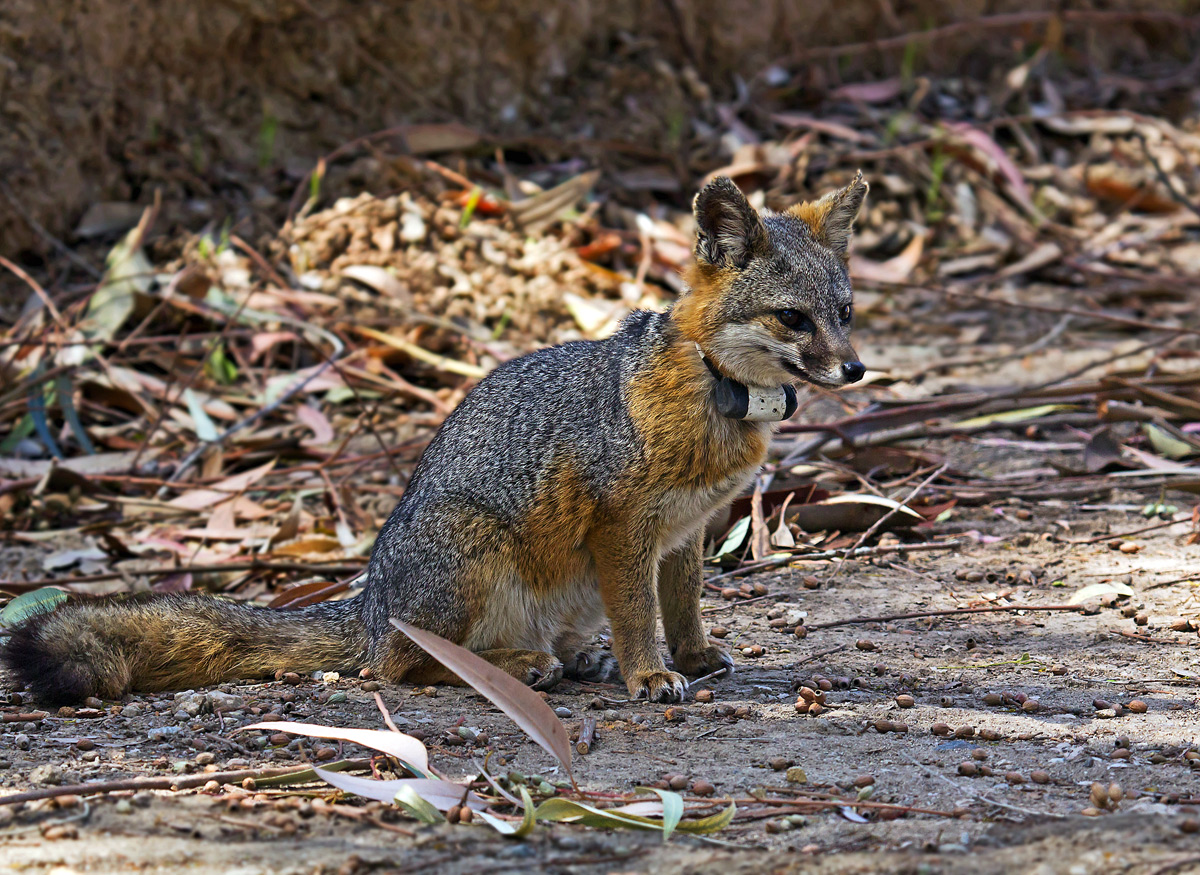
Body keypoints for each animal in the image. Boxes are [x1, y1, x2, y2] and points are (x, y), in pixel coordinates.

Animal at [3, 173, 868, 705]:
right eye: (794, 318)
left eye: (846, 311)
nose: (857, 368)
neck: (714, 388)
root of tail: (367, 603)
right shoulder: (624, 528)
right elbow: (638, 615)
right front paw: (649, 674)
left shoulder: (684, 532)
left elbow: (682, 608)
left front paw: (689, 657)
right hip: (477, 548)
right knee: (402, 664)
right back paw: (521, 664)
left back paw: (564, 654)